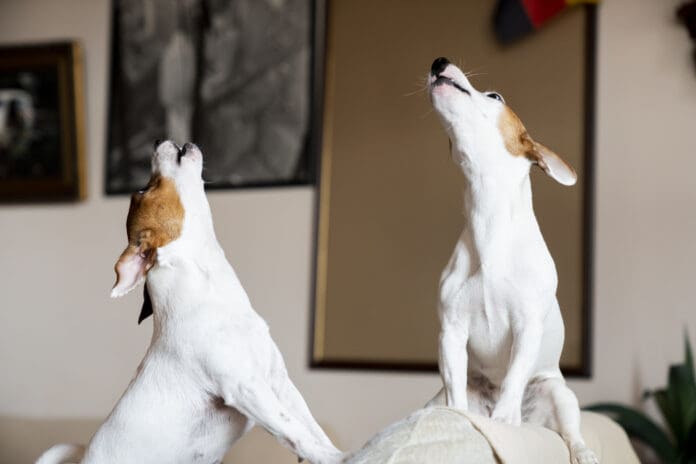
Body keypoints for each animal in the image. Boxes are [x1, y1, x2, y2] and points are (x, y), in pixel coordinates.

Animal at [37, 140, 342, 464]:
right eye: (142, 190)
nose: (159, 141)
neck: (214, 295)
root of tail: (83, 459)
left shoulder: (279, 382)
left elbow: (311, 428)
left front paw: (333, 452)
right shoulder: (246, 387)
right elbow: (294, 432)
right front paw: (335, 457)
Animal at [424, 58, 600, 464]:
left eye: (495, 96)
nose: (439, 62)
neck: (488, 222)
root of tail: (535, 421)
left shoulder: (527, 327)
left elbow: (515, 376)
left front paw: (504, 419)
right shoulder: (451, 331)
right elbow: (454, 387)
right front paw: (461, 418)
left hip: (560, 395)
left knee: (570, 432)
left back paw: (578, 449)